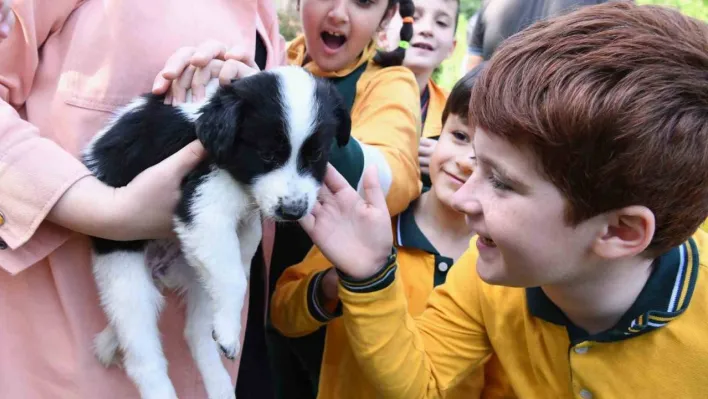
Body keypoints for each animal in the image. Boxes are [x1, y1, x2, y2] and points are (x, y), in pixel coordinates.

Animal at [82, 66, 352, 399]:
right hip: (124, 272)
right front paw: (229, 328)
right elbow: (234, 277)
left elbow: (242, 254)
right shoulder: (204, 207)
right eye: (266, 155)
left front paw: (227, 327)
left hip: (192, 275)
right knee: (142, 354)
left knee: (195, 333)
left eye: (315, 156)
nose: (293, 211)